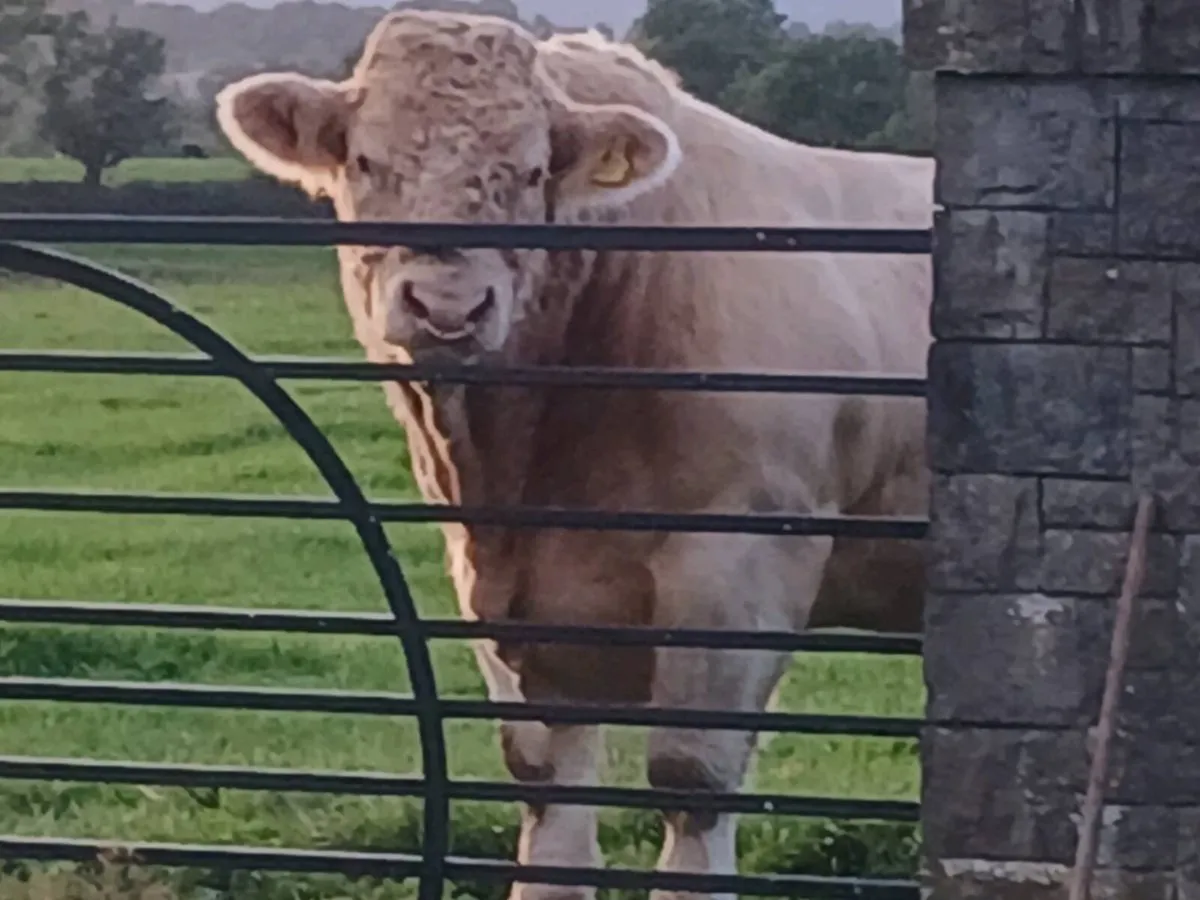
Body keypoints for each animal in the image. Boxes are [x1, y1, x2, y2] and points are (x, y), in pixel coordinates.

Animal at [215, 11, 933, 900]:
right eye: (365, 160)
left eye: (530, 172)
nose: (448, 307)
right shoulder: (508, 592)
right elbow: (548, 792)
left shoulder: (742, 562)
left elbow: (692, 783)